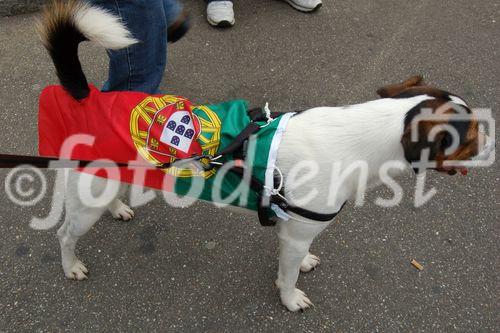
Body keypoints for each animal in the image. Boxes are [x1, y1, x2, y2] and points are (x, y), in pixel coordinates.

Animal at [36, 0, 492, 312]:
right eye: (470, 137)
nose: (492, 141)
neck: (360, 138)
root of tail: (86, 96)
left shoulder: (294, 231)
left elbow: (296, 260)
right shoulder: (295, 234)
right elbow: (286, 277)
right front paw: (290, 299)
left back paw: (117, 208)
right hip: (82, 206)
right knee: (65, 234)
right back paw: (70, 264)